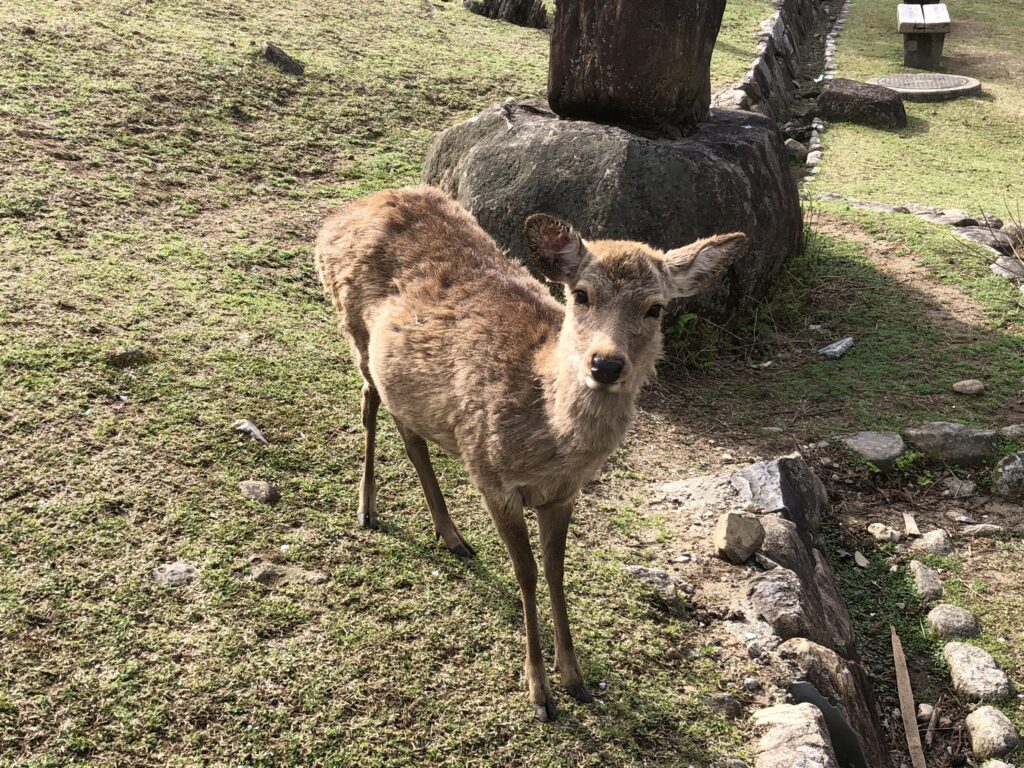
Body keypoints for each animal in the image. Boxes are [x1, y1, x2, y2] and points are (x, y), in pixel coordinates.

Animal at [314, 185, 746, 721]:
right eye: (581, 294)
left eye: (656, 308)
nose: (605, 364)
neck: (548, 438)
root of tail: (343, 212)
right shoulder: (491, 476)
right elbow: (527, 574)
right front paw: (539, 692)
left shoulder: (562, 494)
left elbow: (557, 572)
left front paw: (576, 678)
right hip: (351, 328)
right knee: (371, 407)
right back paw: (368, 509)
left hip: (397, 376)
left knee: (408, 431)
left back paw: (450, 534)